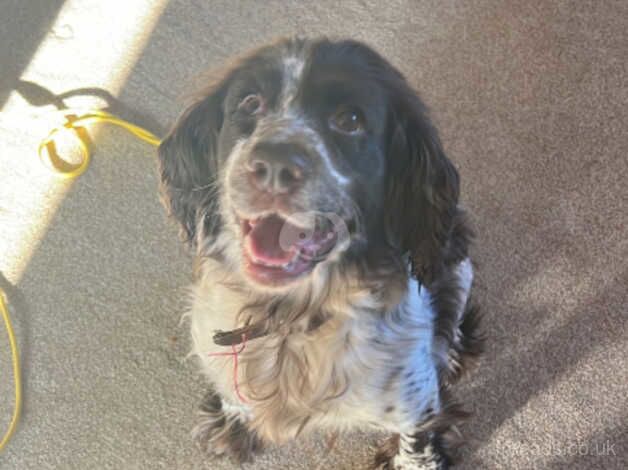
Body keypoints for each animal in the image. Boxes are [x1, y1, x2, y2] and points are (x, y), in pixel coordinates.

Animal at [157, 37, 480, 470]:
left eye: (350, 119)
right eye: (249, 103)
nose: (274, 163)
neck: (288, 320)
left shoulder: (416, 403)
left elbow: (416, 447)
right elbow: (233, 395)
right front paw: (233, 425)